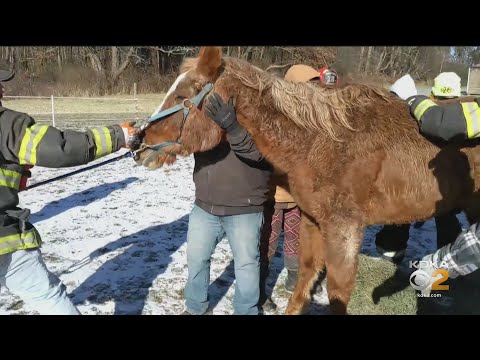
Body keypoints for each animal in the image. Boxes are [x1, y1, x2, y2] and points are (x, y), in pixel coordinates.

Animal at [133, 46, 480, 314]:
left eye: (181, 95)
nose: (138, 144)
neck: (318, 142)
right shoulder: (313, 221)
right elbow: (306, 275)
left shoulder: (344, 230)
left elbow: (339, 291)